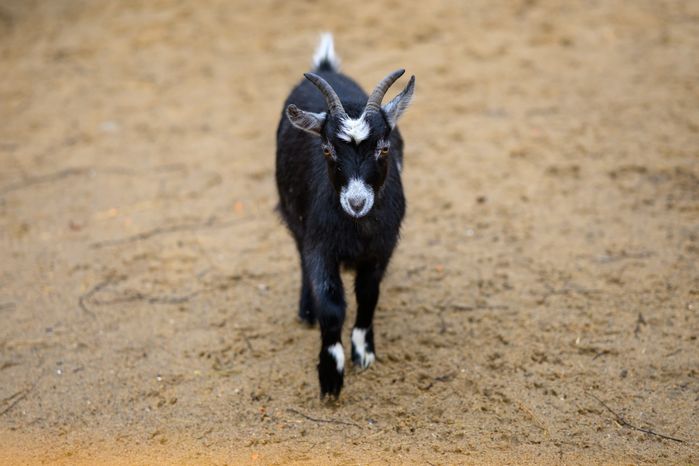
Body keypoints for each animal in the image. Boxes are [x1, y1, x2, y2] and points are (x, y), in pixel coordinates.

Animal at [275, 33, 415, 397]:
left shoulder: (382, 249)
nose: (355, 202)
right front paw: (330, 374)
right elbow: (331, 304)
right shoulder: (320, 246)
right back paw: (305, 310)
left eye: (384, 147)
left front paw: (364, 352)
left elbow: (368, 295)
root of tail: (327, 69)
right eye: (327, 149)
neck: (357, 227)